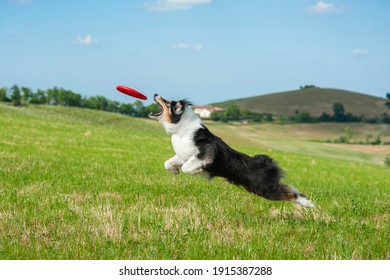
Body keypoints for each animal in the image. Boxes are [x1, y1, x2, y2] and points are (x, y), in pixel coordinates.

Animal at [148, 94, 316, 208]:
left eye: (168, 102)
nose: (155, 94)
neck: (181, 129)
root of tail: (264, 162)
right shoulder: (182, 155)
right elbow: (168, 163)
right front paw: (174, 171)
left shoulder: (205, 153)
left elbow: (187, 167)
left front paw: (197, 171)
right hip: (263, 187)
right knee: (291, 188)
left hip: (264, 189)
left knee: (290, 194)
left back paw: (309, 204)